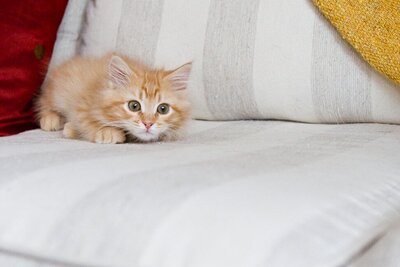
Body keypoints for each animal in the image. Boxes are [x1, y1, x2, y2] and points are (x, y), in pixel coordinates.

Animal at [36, 53, 193, 143]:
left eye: (163, 109)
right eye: (134, 106)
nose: (148, 124)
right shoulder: (82, 106)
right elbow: (87, 122)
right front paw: (109, 133)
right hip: (58, 91)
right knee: (44, 101)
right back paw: (51, 119)